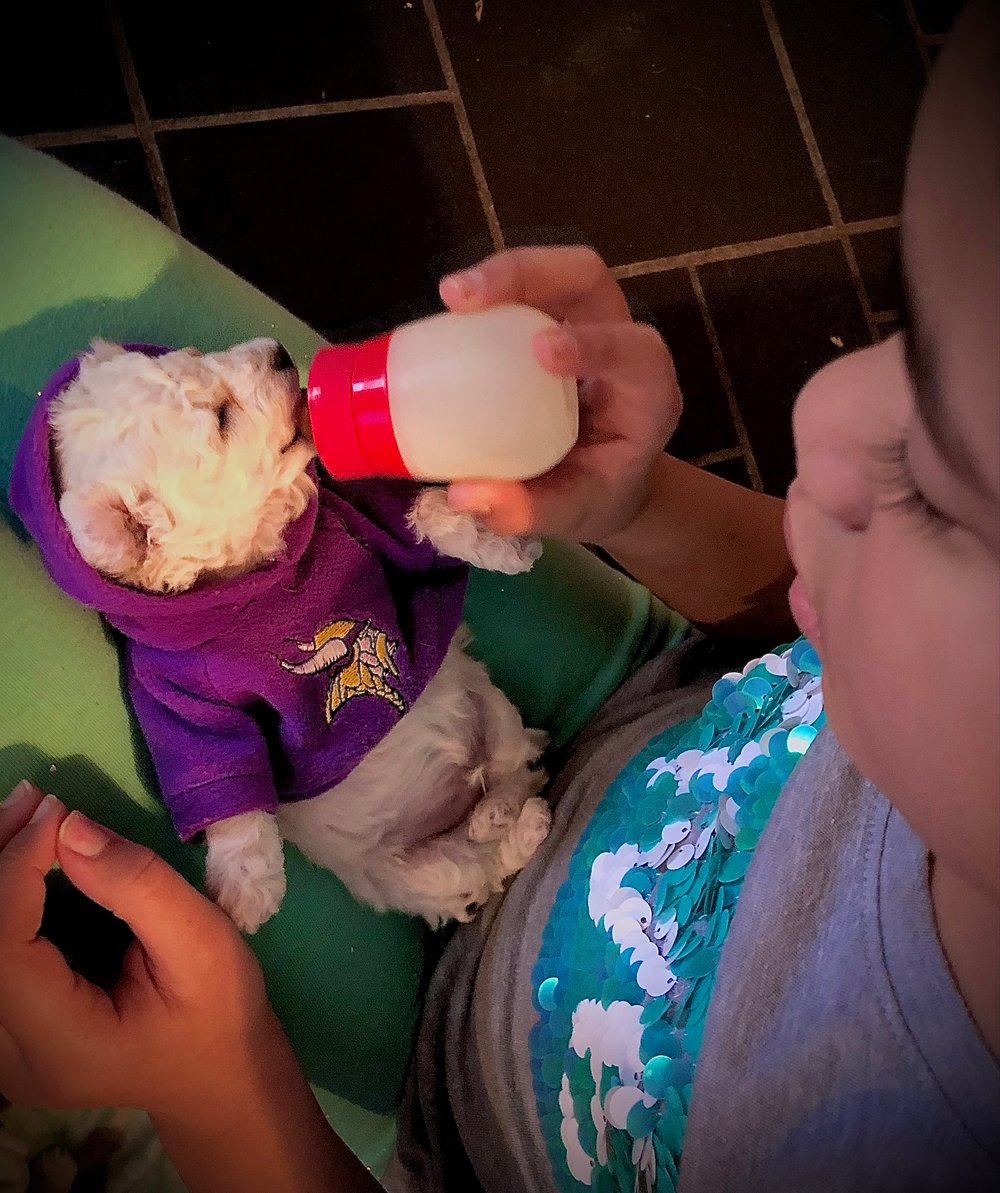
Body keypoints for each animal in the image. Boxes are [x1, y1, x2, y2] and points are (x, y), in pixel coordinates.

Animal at [47, 336, 551, 930]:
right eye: (221, 418)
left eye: (196, 352)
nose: (280, 352)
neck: (264, 576)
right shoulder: (179, 695)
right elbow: (222, 777)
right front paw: (247, 893)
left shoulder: (362, 519)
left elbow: (424, 515)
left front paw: (502, 549)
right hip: (411, 875)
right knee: (481, 859)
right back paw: (510, 824)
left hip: (489, 705)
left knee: (513, 767)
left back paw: (506, 811)